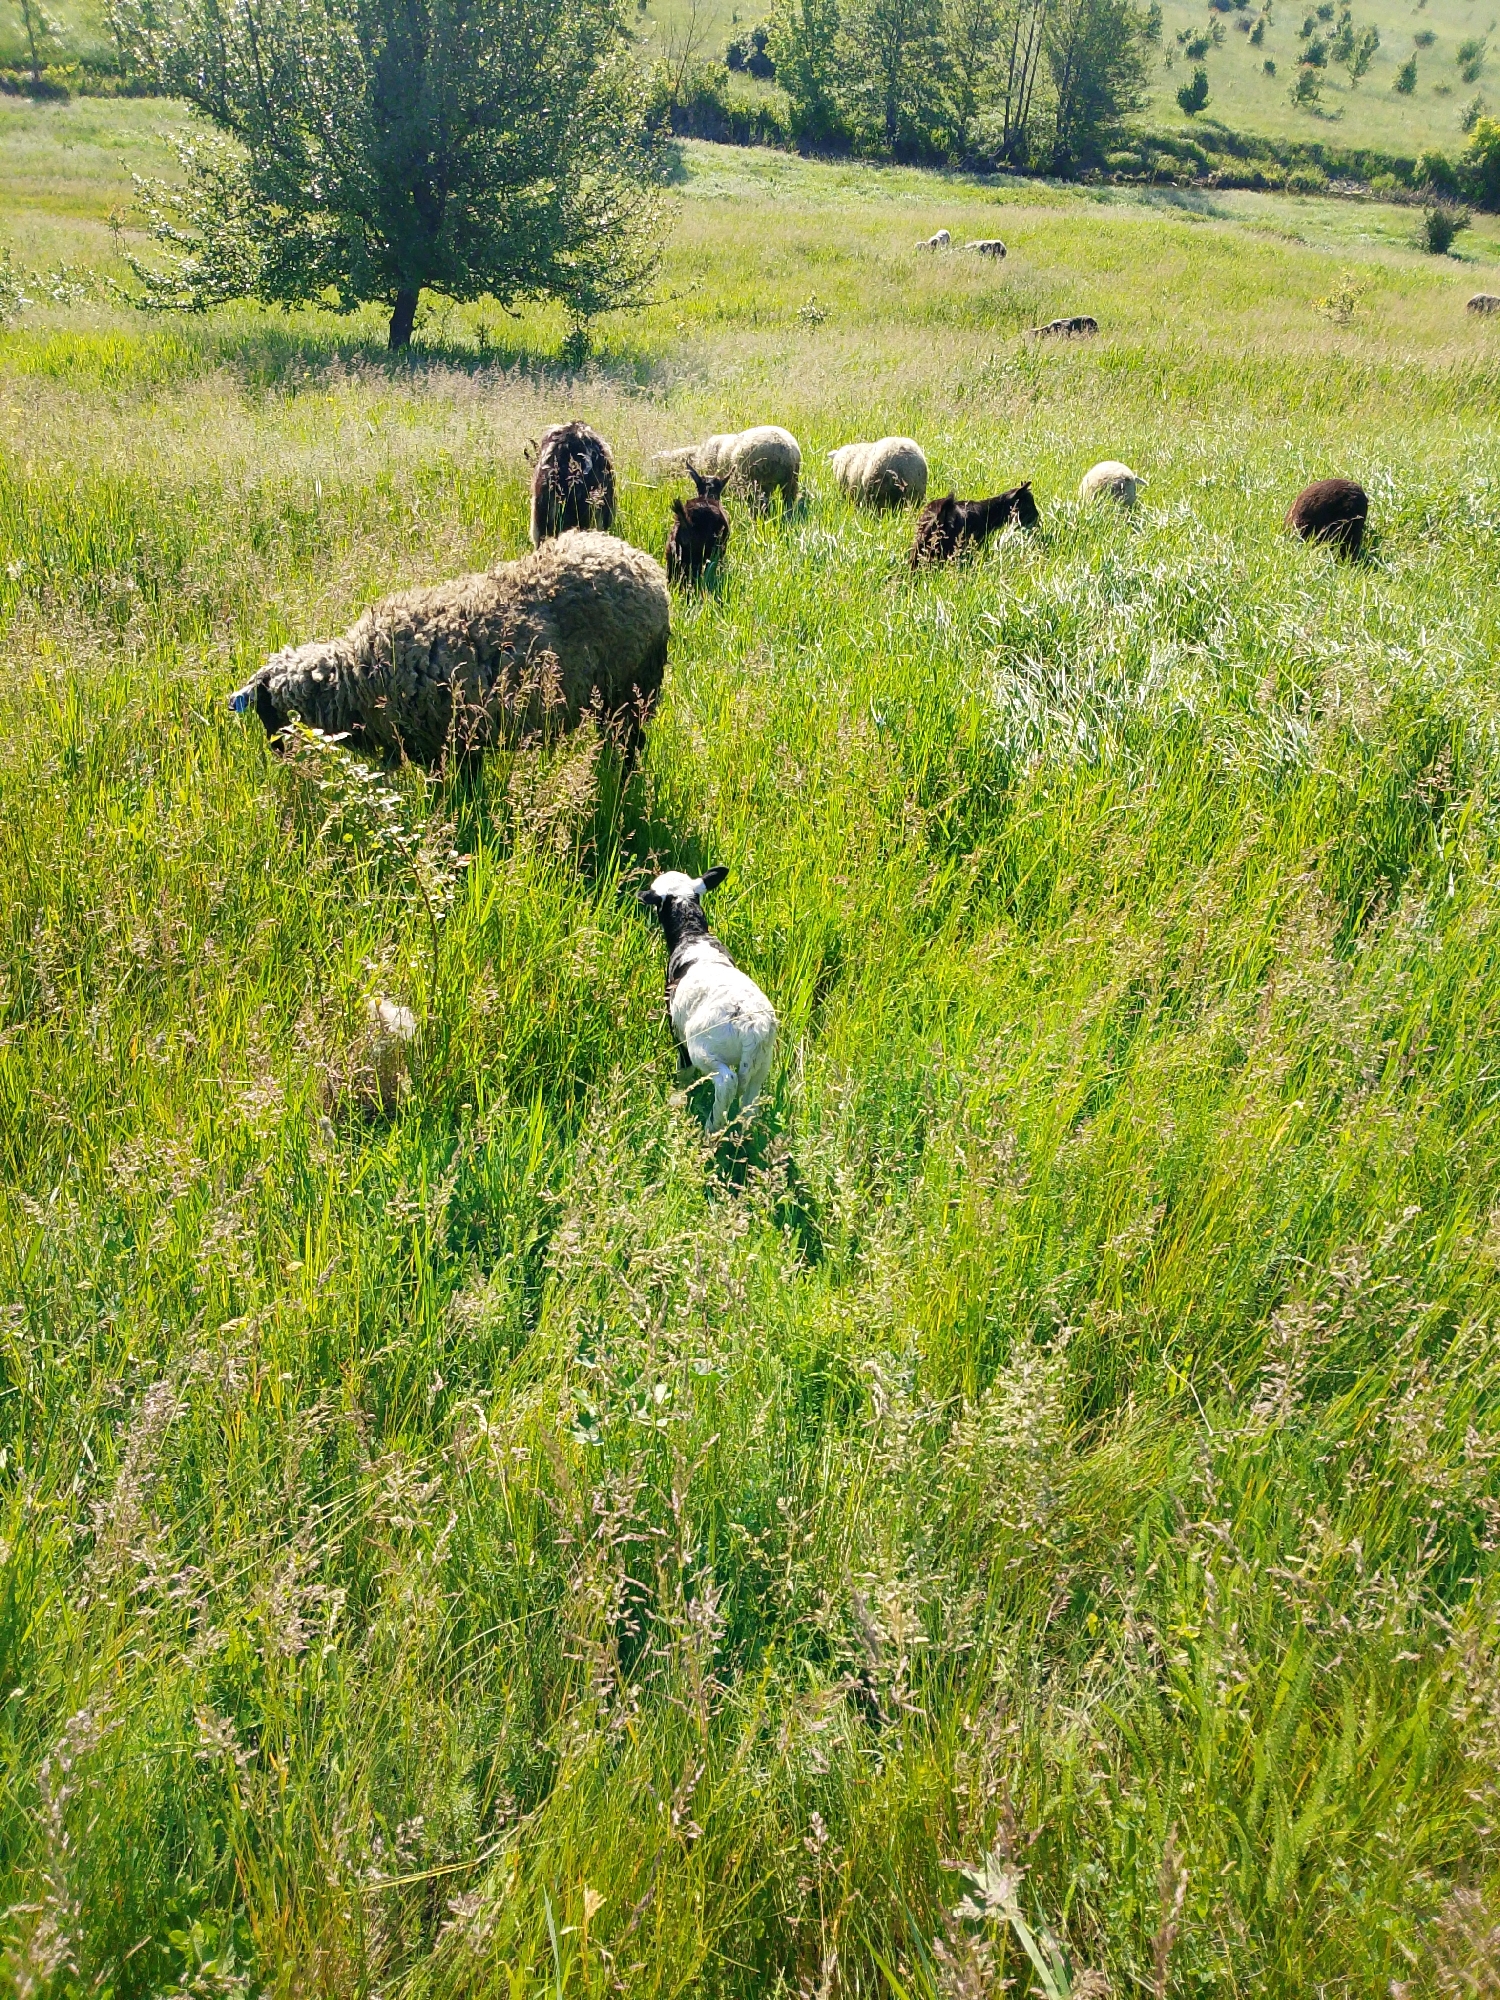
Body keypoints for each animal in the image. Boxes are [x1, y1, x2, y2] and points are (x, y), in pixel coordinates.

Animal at [230, 531, 670, 767]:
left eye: (265, 711)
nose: (276, 754)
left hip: (631, 688)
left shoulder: (446, 743)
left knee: (630, 742)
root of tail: (639, 561)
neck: (354, 678)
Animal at [638, 867, 777, 1134]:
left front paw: (680, 1093)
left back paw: (711, 1130)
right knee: (750, 1102)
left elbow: (684, 1069)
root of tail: (752, 1029)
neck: (693, 934)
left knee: (726, 1082)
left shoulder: (677, 1031)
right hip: (762, 1062)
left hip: (704, 1048)